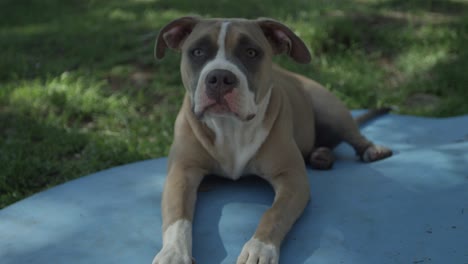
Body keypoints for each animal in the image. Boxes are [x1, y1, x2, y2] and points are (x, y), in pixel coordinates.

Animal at [153, 17, 392, 264]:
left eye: (250, 52)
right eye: (197, 51)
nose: (219, 77)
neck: (230, 127)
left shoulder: (292, 179)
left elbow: (273, 214)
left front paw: (259, 248)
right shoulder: (181, 174)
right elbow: (178, 219)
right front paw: (173, 252)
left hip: (330, 109)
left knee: (354, 134)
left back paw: (371, 149)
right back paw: (321, 155)